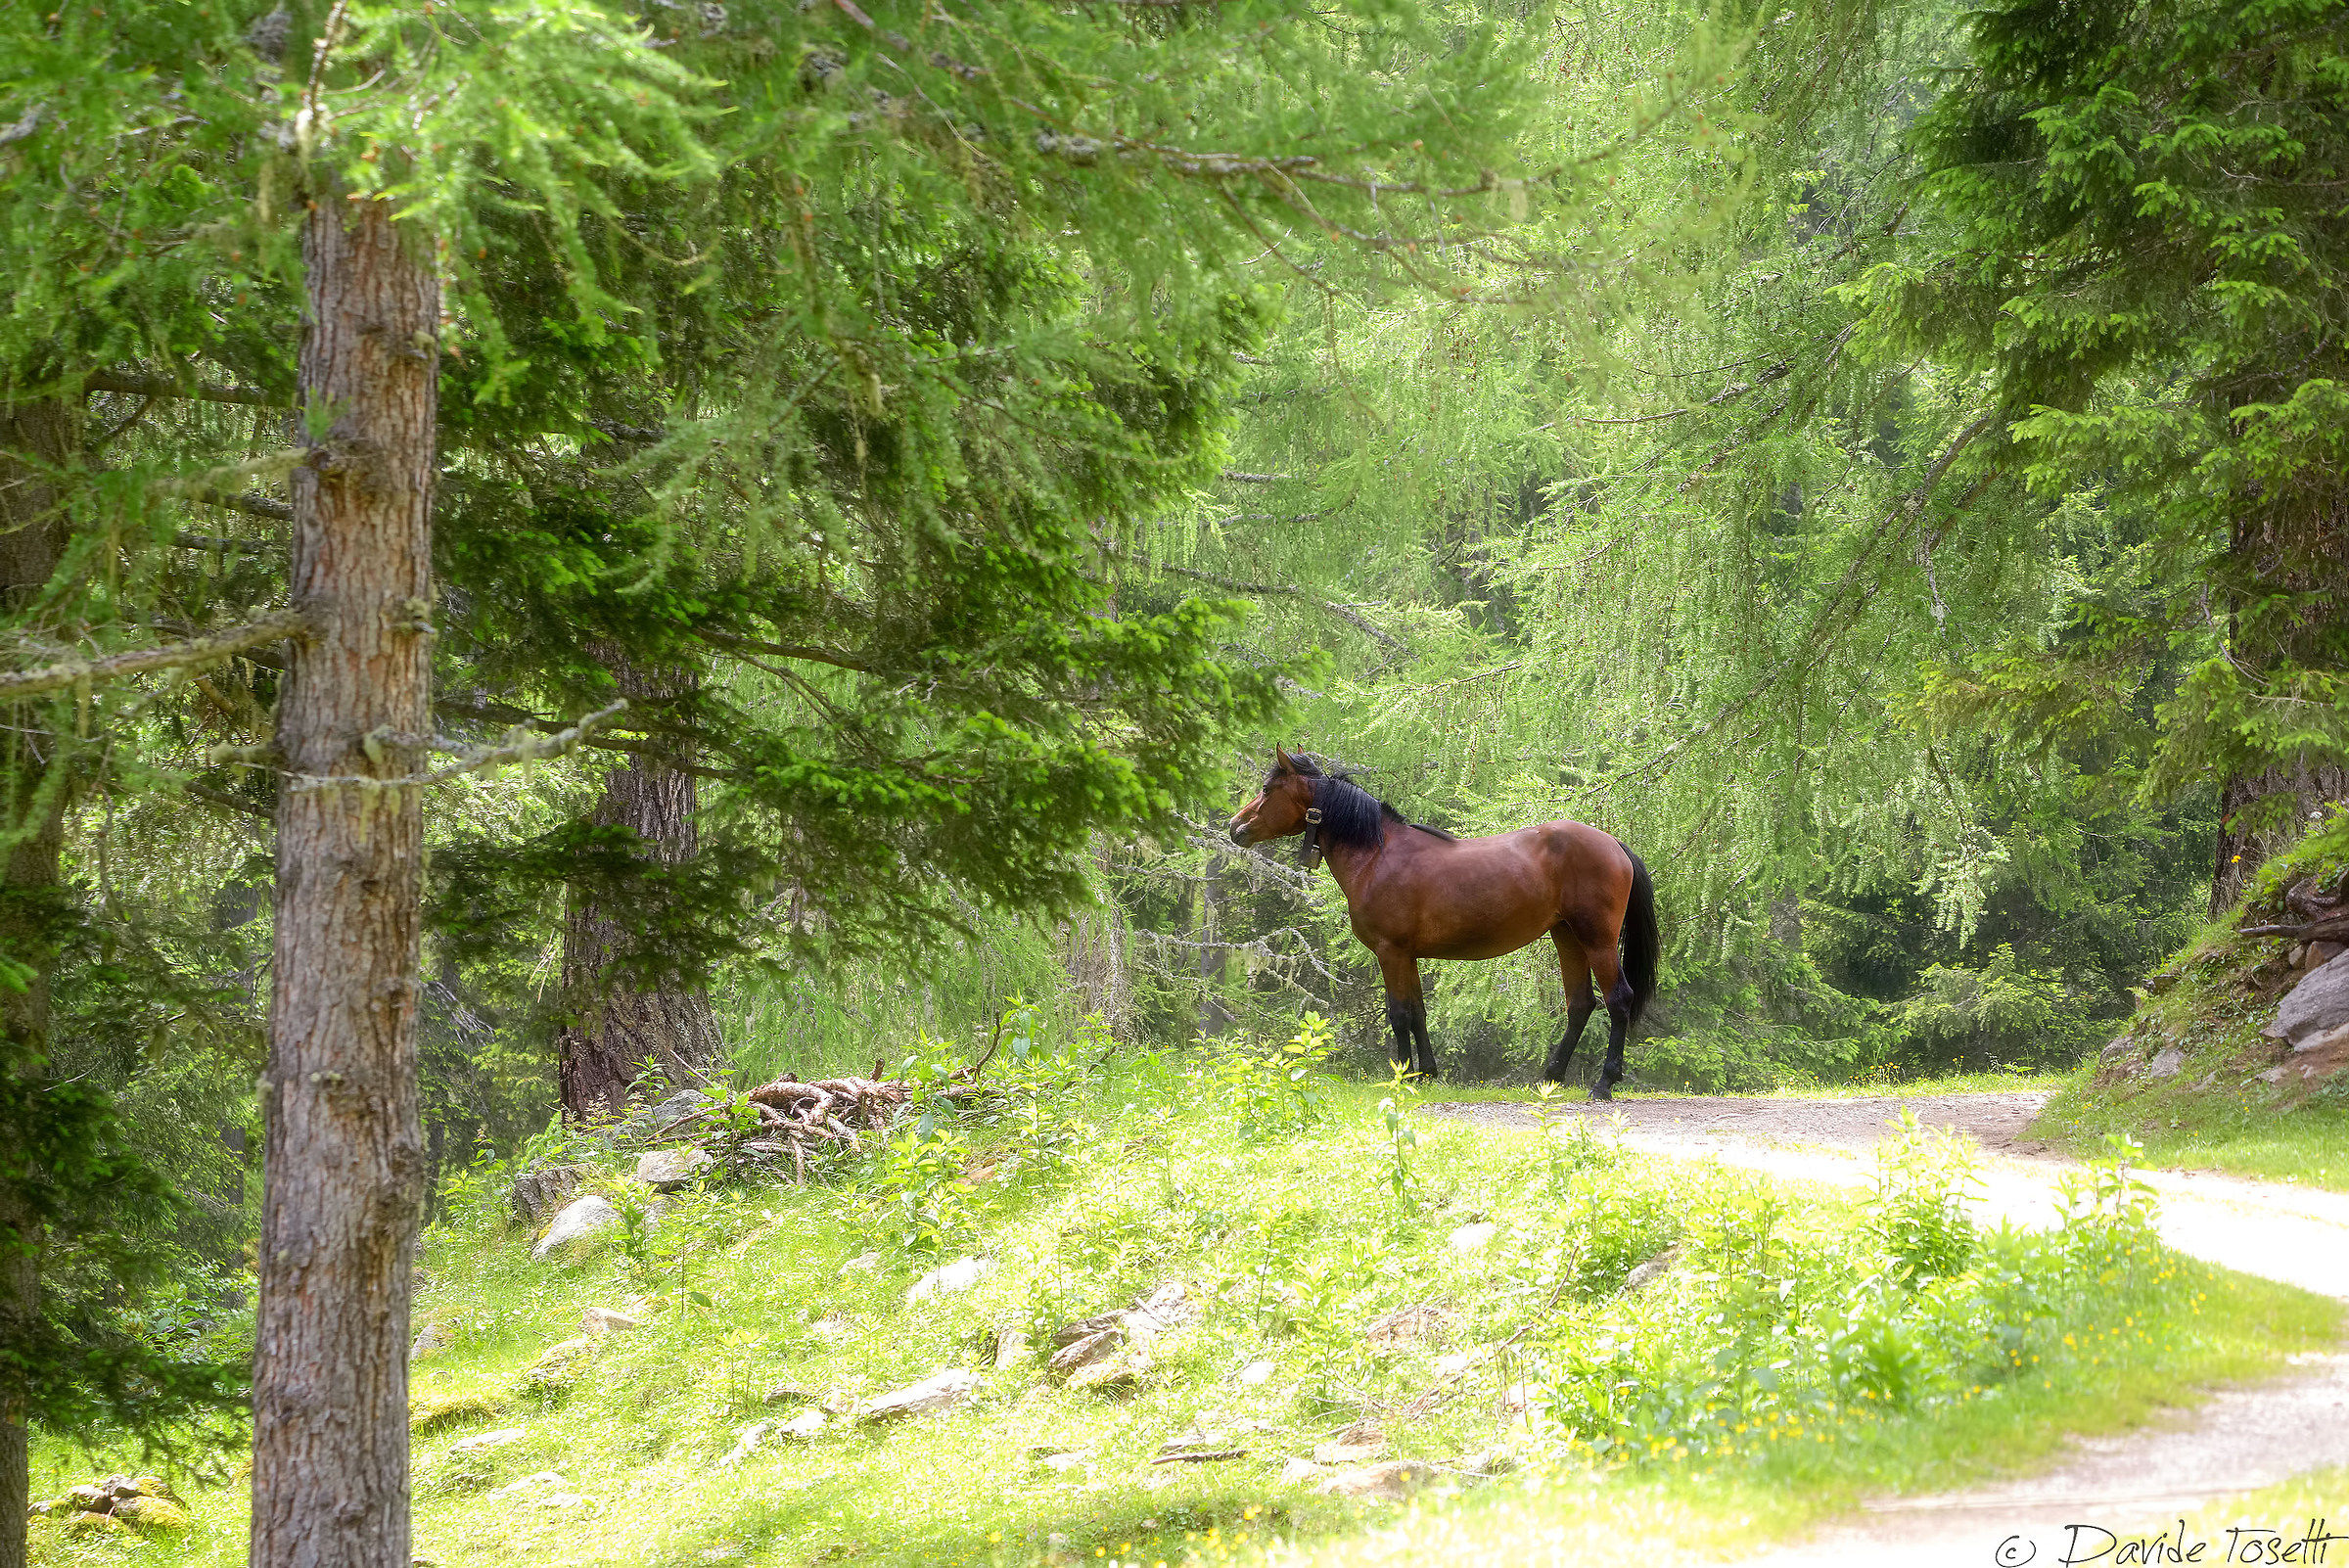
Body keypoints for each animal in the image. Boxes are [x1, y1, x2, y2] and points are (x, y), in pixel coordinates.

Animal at [1226, 747, 1659, 1099]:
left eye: (1267, 789)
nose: (1235, 827)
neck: (1377, 855)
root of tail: (1613, 843)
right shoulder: (1408, 956)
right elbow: (1418, 1012)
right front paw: (1426, 1073)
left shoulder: (1391, 952)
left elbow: (1399, 1014)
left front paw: (1401, 1077)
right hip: (1566, 936)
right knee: (1580, 1003)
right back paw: (1550, 1077)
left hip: (1597, 940)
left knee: (1618, 999)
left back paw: (1604, 1083)